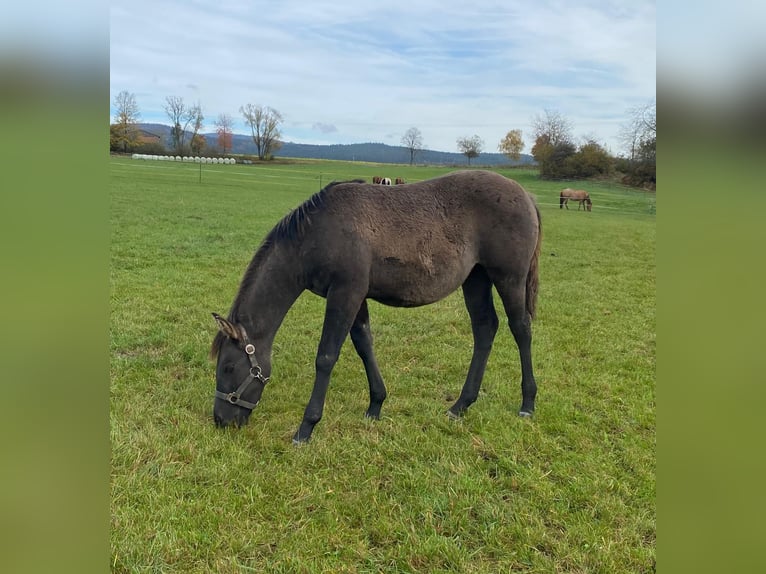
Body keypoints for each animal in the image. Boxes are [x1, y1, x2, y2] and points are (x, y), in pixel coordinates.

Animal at [213, 171, 544, 446]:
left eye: (228, 367)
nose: (220, 420)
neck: (316, 233)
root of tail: (526, 195)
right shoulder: (356, 296)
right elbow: (364, 345)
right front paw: (376, 405)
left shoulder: (345, 293)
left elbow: (326, 356)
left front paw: (306, 427)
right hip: (476, 279)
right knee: (485, 328)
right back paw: (461, 404)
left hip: (509, 278)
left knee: (521, 329)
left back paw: (527, 403)